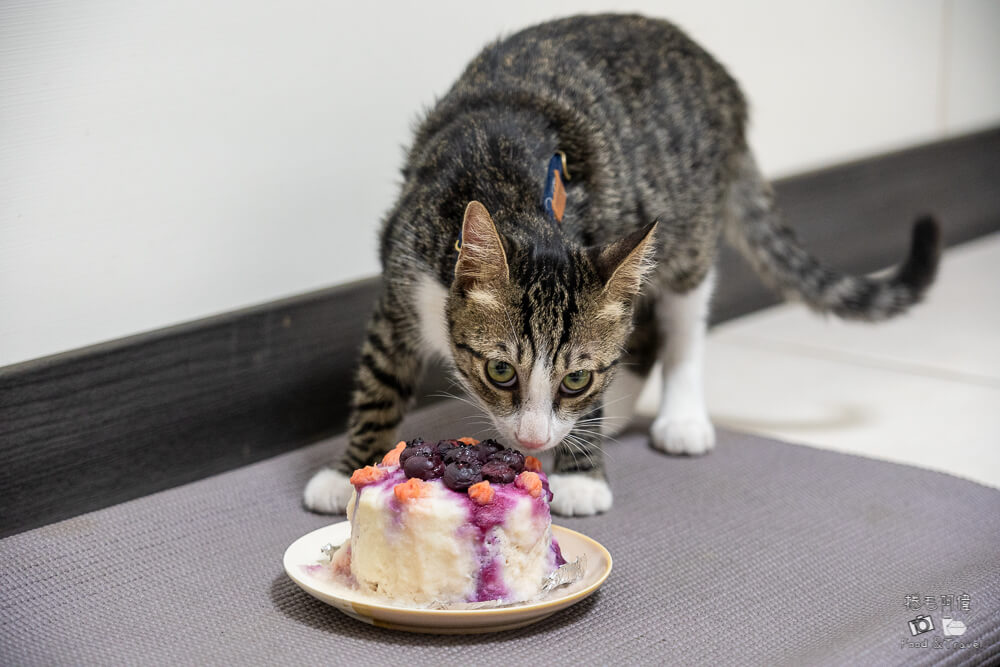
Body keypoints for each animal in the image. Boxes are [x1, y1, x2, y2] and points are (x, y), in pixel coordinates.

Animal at [302, 13, 936, 520]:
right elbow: (379, 381)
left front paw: (582, 473)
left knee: (680, 319)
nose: (534, 435)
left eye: (576, 379)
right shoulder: (401, 279)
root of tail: (716, 72)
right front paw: (348, 467)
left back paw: (676, 416)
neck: (512, 195)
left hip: (687, 227)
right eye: (501, 371)